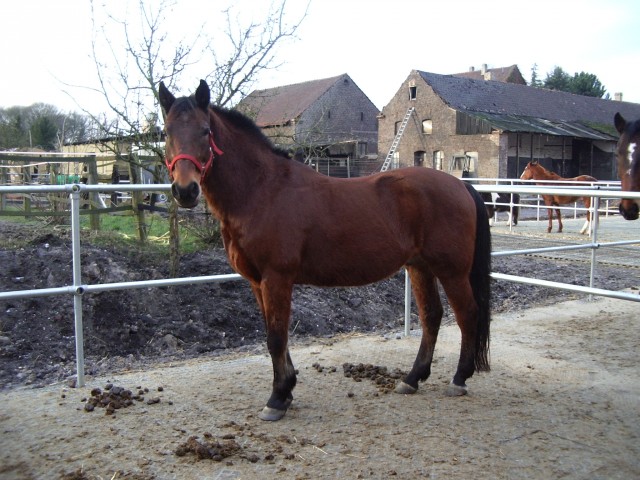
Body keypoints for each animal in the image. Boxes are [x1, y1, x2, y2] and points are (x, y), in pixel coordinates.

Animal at [158, 80, 492, 421]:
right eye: (167, 132)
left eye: (205, 131)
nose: (185, 190)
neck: (262, 191)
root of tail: (461, 185)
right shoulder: (257, 282)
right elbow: (274, 334)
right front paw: (287, 389)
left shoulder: (276, 278)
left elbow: (276, 337)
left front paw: (276, 399)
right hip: (420, 267)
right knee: (431, 316)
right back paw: (411, 379)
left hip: (452, 271)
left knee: (468, 314)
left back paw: (459, 379)